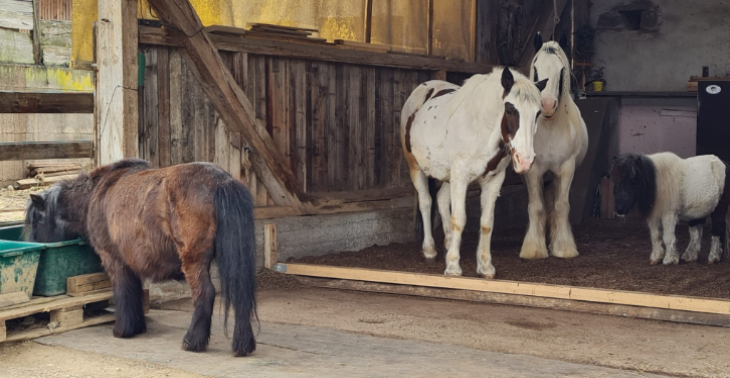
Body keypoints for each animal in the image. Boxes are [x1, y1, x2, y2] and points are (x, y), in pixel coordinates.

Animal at [25, 159, 258, 358]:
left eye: (36, 222)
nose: (34, 246)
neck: (95, 195)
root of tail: (220, 180)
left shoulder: (114, 260)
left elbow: (122, 291)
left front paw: (123, 330)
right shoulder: (131, 261)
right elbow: (134, 290)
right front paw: (137, 326)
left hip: (193, 261)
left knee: (205, 293)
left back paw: (192, 342)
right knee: (241, 292)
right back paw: (243, 345)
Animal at [398, 66, 544, 278]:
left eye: (538, 113)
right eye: (510, 109)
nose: (525, 160)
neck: (480, 129)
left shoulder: (493, 181)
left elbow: (486, 222)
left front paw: (485, 267)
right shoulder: (461, 177)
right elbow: (459, 219)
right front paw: (452, 266)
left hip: (448, 176)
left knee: (441, 199)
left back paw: (448, 241)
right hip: (416, 168)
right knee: (426, 202)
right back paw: (430, 249)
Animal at [520, 32, 588, 260]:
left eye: (561, 70)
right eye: (536, 67)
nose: (547, 105)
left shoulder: (566, 169)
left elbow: (561, 206)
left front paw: (563, 247)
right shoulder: (533, 171)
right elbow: (535, 206)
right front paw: (534, 248)